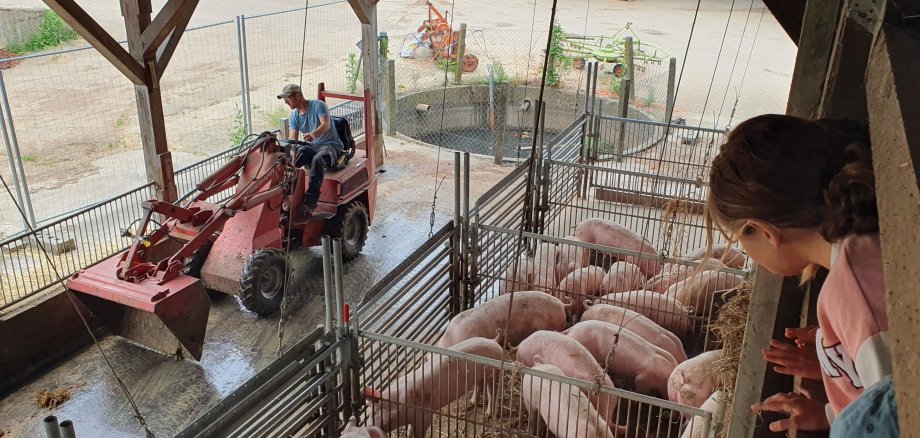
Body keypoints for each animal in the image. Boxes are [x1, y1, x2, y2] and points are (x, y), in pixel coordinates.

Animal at [362, 338, 504, 436]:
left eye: (373, 413)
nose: (367, 427)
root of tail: (494, 341)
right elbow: (409, 430)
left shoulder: (424, 416)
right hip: (479, 376)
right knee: (479, 386)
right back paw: (471, 404)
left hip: (494, 373)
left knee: (492, 391)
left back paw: (488, 414)